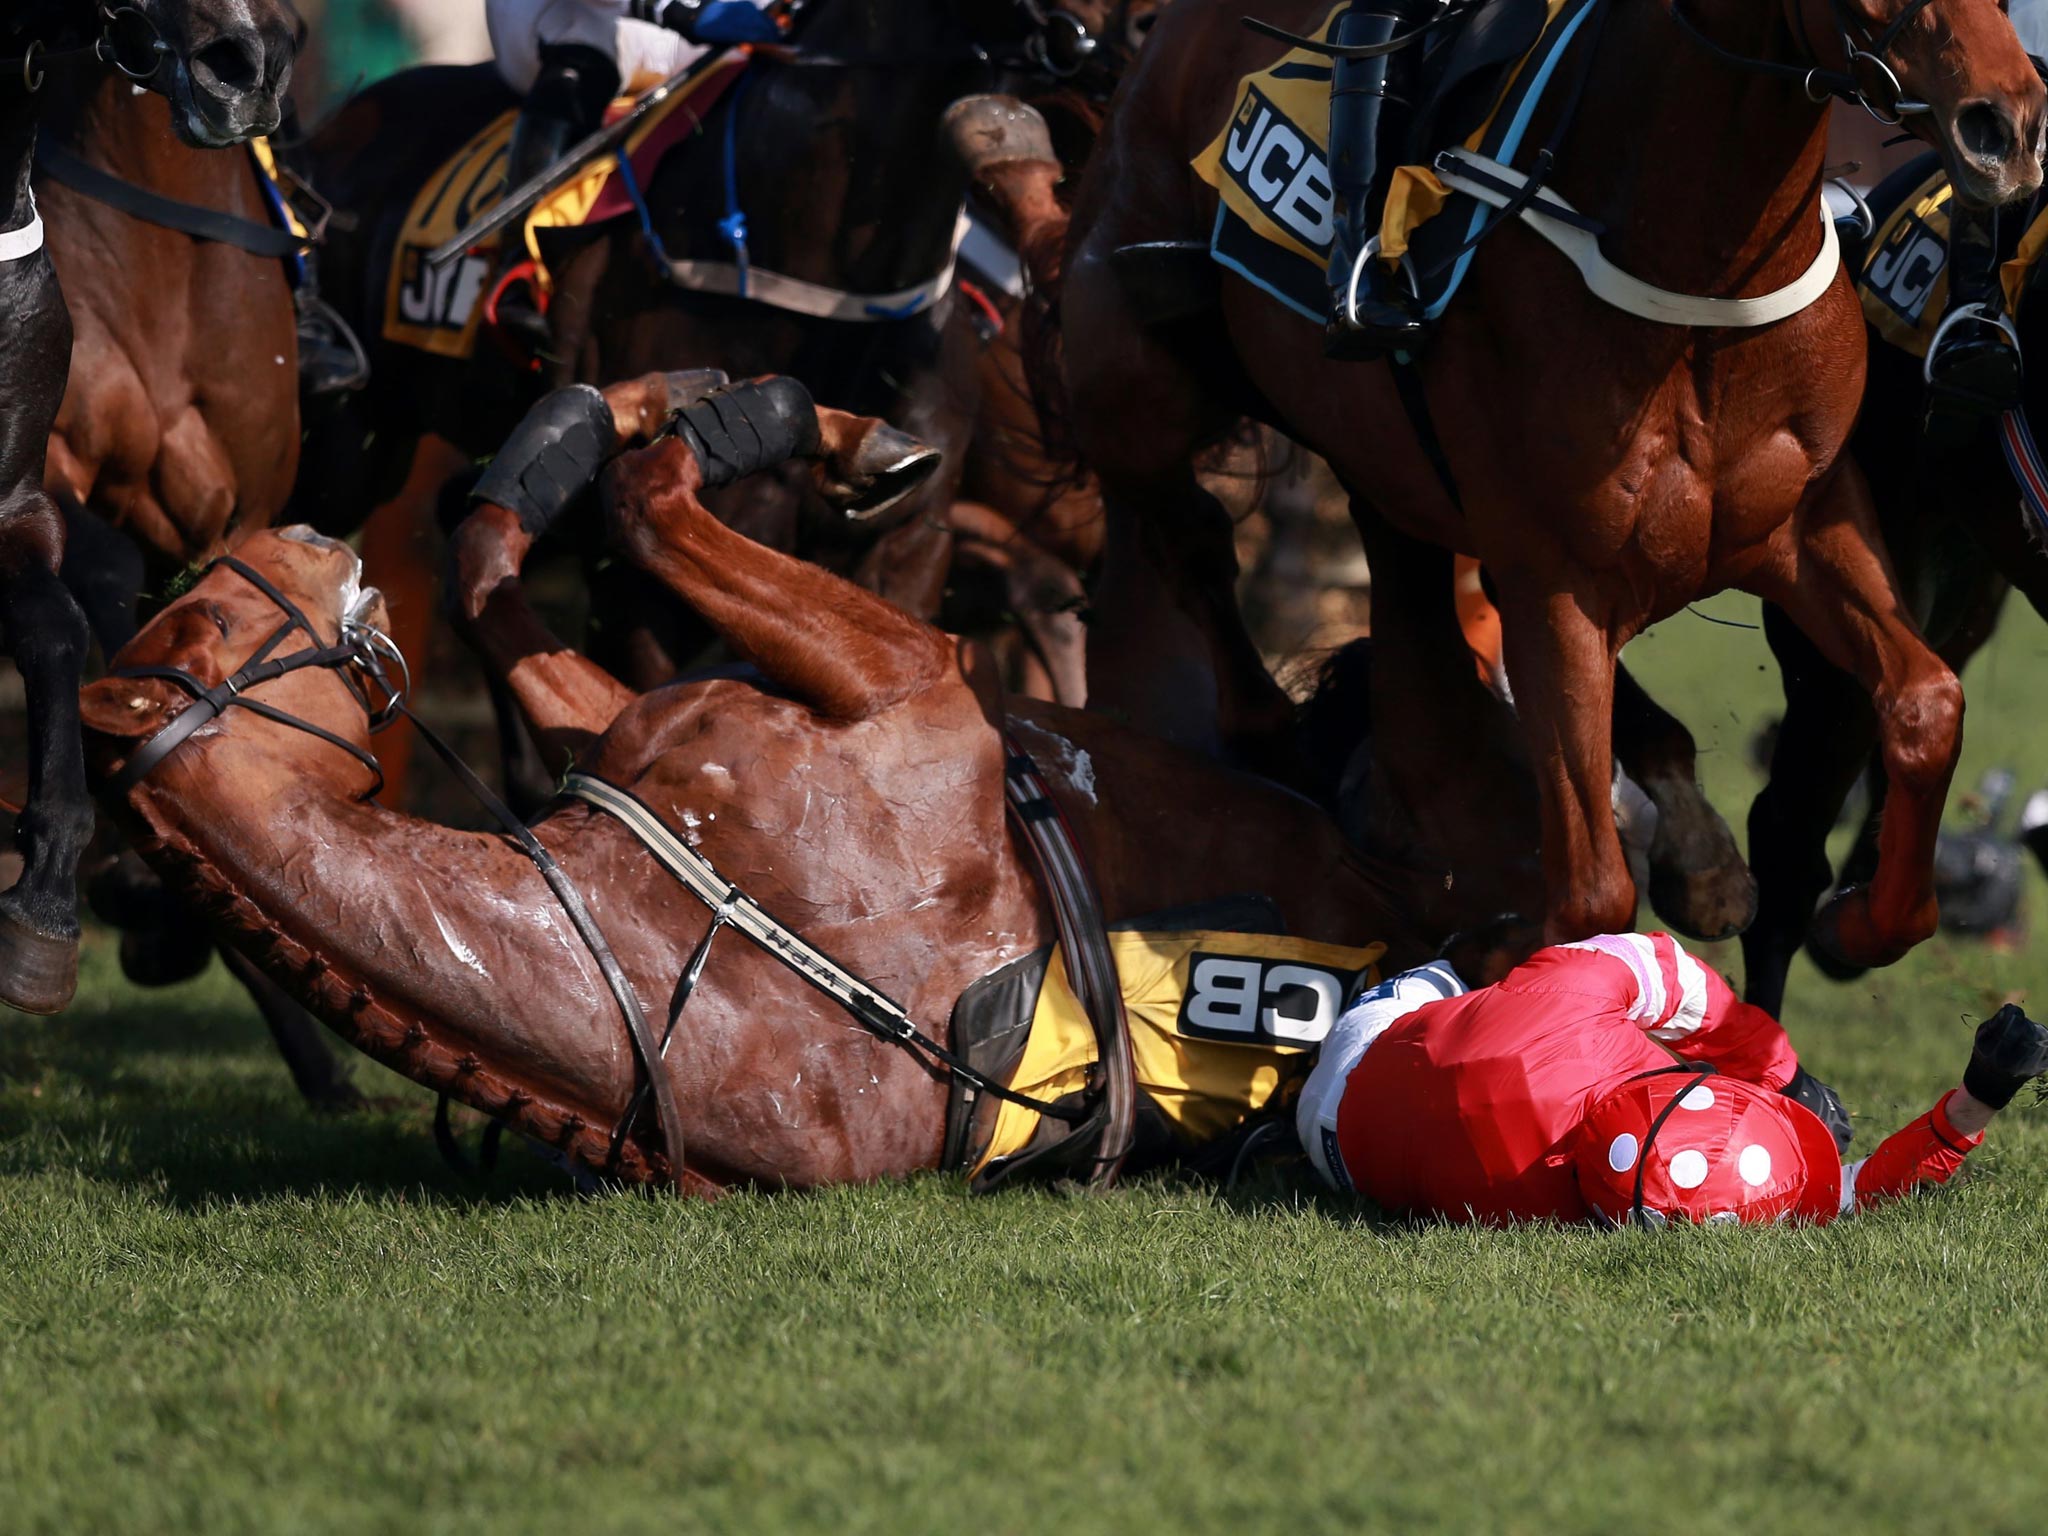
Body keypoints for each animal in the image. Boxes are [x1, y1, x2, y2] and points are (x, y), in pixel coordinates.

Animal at [75, 378, 1425, 1196]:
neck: (696, 923)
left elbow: (496, 552)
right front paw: (752, 421)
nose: (299, 529)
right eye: (201, 620)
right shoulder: (905, 679)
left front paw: (608, 421)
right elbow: (636, 506)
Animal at [1007, 0, 2048, 962]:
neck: (1696, 276)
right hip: (1128, 381)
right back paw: (1274, 732)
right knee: (1190, 537)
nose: (2008, 125)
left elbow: (1925, 704)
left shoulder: (1811, 525)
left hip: (1385, 476)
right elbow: (1590, 895)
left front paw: (1860, 919)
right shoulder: (1557, 574)